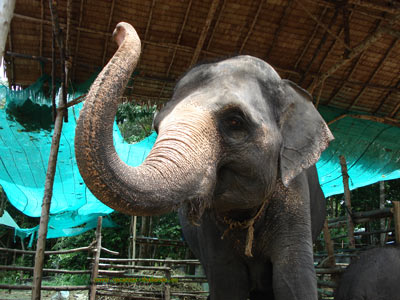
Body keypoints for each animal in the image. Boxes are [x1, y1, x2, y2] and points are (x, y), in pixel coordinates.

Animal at [75, 22, 334, 300]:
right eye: (156, 126)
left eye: (235, 121)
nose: (118, 29)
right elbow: (227, 282)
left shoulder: (294, 196)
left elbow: (294, 280)